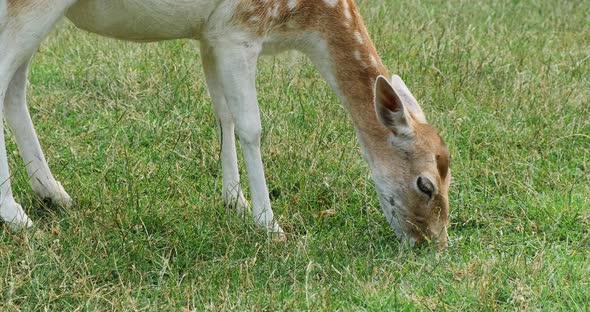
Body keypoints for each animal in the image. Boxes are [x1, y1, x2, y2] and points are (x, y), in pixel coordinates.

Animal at [1, 0, 454, 249]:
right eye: (425, 184)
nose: (433, 243)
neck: (302, 23)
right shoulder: (241, 30)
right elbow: (252, 126)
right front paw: (269, 223)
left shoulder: (211, 35)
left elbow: (223, 113)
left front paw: (233, 200)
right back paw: (15, 214)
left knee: (16, 85)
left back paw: (53, 194)